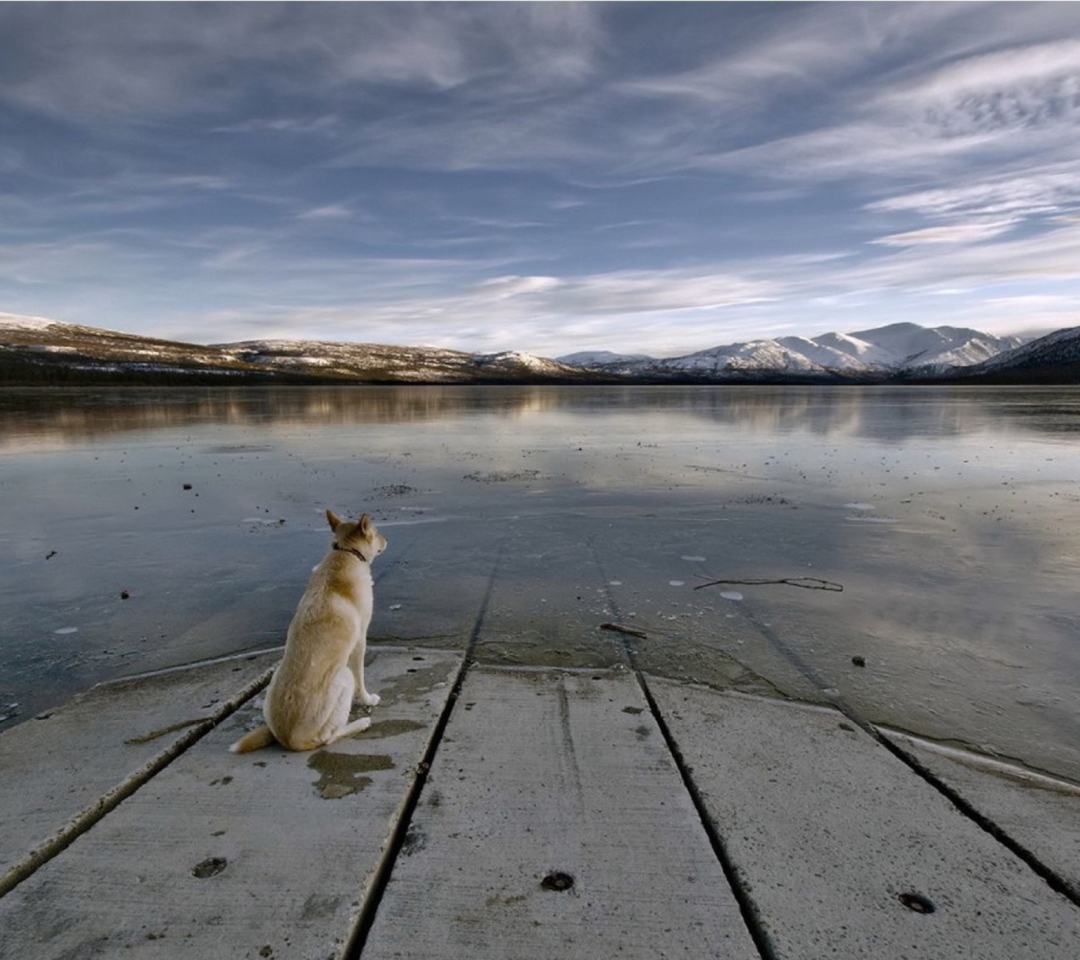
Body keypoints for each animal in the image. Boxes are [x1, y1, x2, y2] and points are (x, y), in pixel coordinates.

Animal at [230, 505, 390, 751]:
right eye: (376, 533)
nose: (387, 540)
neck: (346, 553)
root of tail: (287, 739)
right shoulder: (360, 641)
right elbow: (361, 678)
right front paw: (367, 699)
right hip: (343, 677)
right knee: (328, 738)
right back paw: (360, 723)